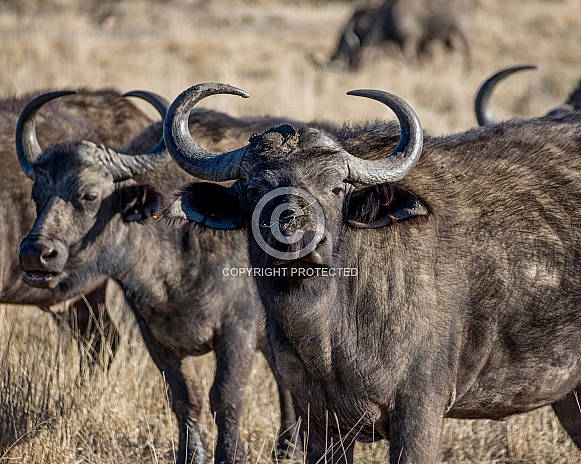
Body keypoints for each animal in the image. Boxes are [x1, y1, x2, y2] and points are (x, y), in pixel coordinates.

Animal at [17, 90, 308, 464]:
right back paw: (288, 448)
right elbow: (184, 397)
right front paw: (191, 454)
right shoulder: (154, 336)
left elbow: (225, 397)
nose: (34, 253)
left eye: (89, 195)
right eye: (37, 195)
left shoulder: (237, 331)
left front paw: (231, 455)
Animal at [161, 83, 580, 464]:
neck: (329, 333)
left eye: (335, 188)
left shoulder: (419, 412)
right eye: (253, 188)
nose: (296, 239)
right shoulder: (320, 423)